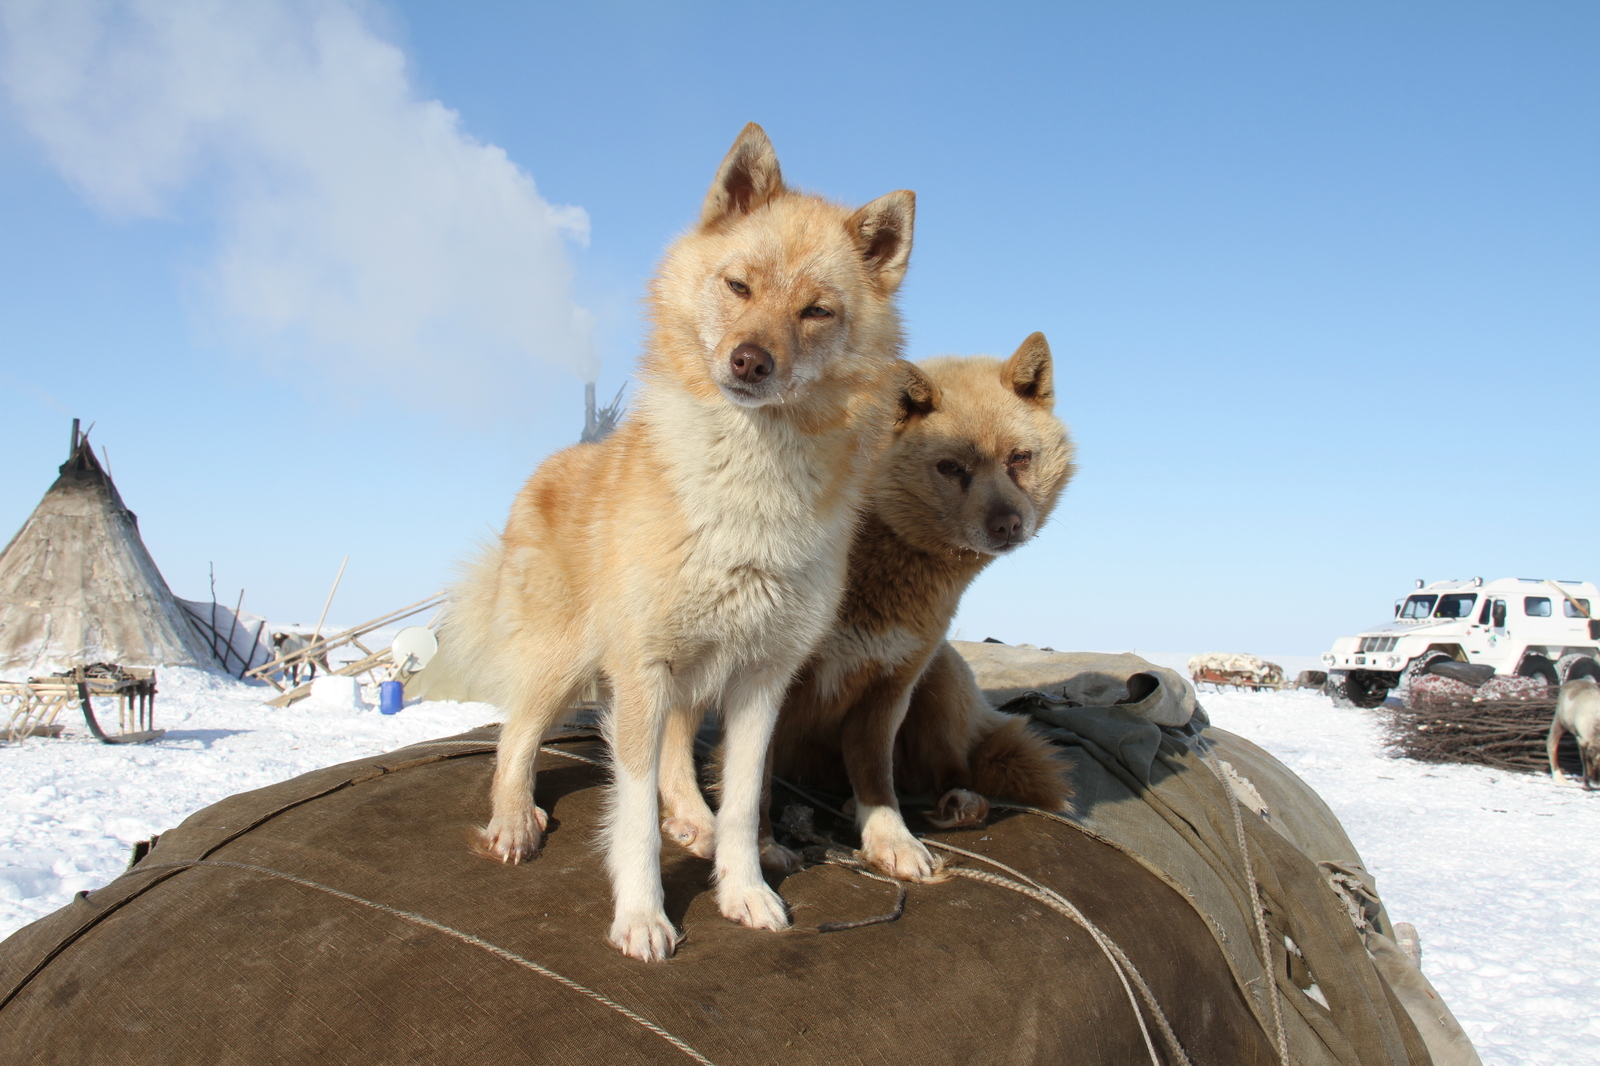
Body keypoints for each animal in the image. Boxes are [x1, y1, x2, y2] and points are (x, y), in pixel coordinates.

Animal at [441, 122, 915, 953]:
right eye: (739, 286)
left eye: (816, 311)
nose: (750, 362)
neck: (748, 499)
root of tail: (549, 465)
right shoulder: (641, 668)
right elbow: (631, 816)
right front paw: (641, 916)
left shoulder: (759, 680)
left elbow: (743, 803)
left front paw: (744, 888)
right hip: (567, 662)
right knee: (514, 738)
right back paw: (513, 821)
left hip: (685, 677)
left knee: (673, 762)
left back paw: (693, 819)